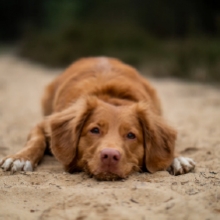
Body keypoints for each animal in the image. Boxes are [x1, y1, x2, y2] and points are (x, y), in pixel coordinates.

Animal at [0, 57, 196, 180]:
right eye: (94, 130)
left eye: (131, 135)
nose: (110, 156)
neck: (111, 97)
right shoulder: (44, 124)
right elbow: (36, 140)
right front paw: (20, 158)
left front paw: (176, 158)